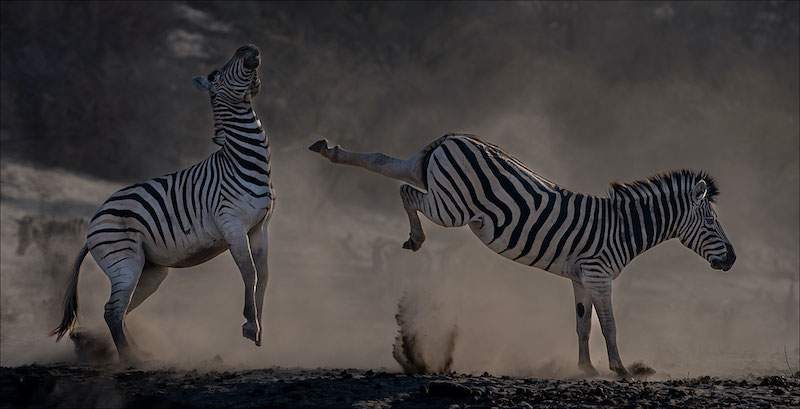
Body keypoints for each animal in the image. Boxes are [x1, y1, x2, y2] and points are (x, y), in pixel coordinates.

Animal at [50, 45, 273, 364]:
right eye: (217, 73)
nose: (249, 49)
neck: (243, 158)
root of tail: (93, 223)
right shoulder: (233, 225)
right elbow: (249, 272)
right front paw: (249, 325)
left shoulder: (260, 227)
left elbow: (263, 277)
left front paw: (259, 329)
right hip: (126, 261)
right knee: (113, 310)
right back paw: (130, 359)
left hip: (151, 270)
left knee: (119, 310)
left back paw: (135, 352)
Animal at [309, 133, 736, 377]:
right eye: (711, 224)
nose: (732, 260)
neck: (622, 227)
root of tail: (454, 137)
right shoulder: (599, 275)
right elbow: (609, 325)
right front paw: (620, 369)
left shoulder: (580, 277)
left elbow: (583, 324)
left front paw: (587, 369)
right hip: (450, 206)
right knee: (406, 194)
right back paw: (415, 238)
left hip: (427, 174)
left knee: (383, 161)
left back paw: (329, 150)